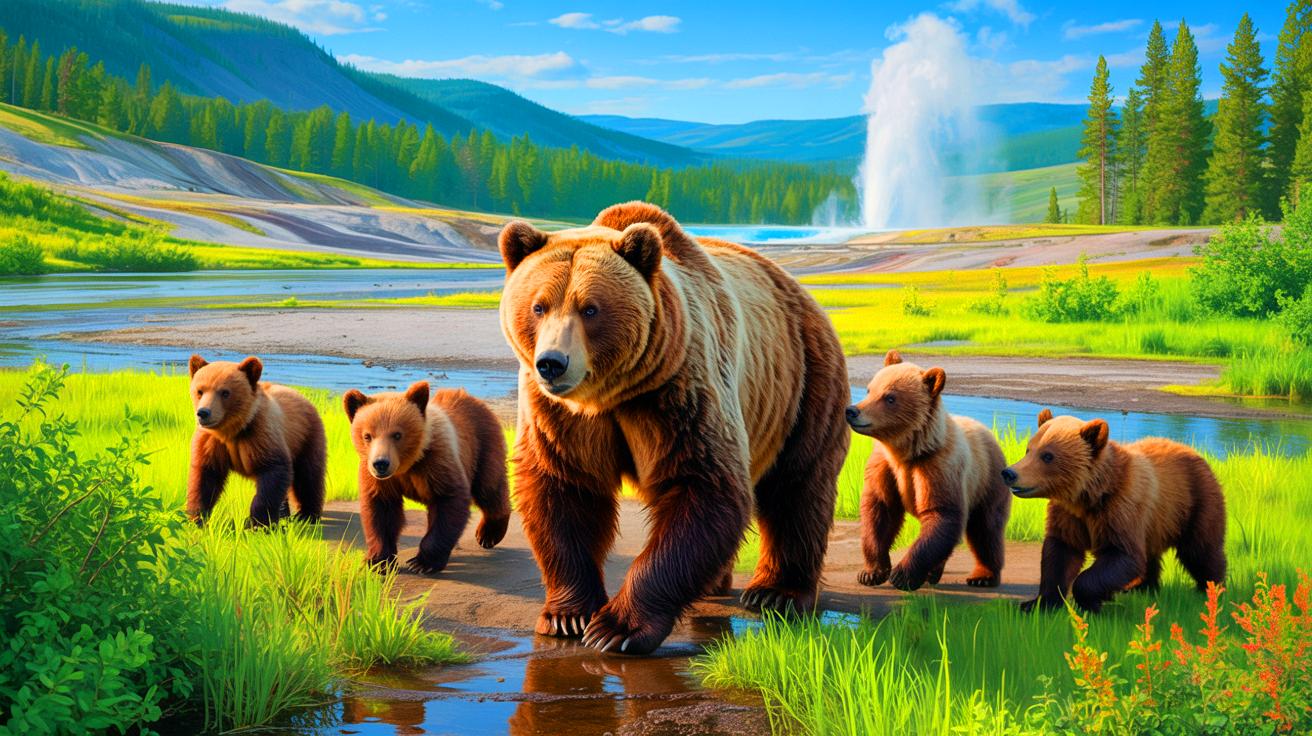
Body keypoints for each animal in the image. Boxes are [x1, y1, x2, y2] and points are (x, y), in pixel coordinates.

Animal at [187, 354, 326, 527]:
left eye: (225, 392)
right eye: (200, 391)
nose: (203, 413)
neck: (232, 430)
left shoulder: (261, 435)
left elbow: (273, 470)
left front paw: (258, 522)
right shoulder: (212, 442)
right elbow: (206, 475)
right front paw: (197, 518)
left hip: (306, 436)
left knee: (308, 475)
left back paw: (306, 515)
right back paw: (285, 513)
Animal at [343, 381, 511, 574]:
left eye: (397, 434)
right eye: (367, 436)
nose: (380, 463)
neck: (409, 464)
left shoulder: (438, 462)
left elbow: (450, 501)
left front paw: (422, 562)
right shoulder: (379, 479)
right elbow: (381, 510)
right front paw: (379, 561)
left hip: (482, 445)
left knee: (489, 488)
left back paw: (488, 534)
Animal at [498, 201, 850, 655]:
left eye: (590, 308)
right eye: (539, 306)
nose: (552, 364)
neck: (609, 396)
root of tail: (804, 294)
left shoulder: (677, 392)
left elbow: (703, 486)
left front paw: (617, 628)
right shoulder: (561, 417)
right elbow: (563, 488)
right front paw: (568, 616)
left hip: (803, 383)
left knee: (797, 488)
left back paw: (776, 592)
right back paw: (716, 583)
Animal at [845, 350, 1012, 591]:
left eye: (890, 397)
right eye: (870, 389)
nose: (852, 411)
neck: (908, 452)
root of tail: (988, 432)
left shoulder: (939, 467)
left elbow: (942, 513)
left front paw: (902, 575)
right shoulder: (884, 466)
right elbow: (880, 510)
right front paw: (870, 573)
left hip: (988, 482)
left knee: (986, 530)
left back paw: (983, 576)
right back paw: (934, 572)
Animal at [1003, 409, 1227, 613]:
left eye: (1047, 455)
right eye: (1028, 450)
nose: (1009, 473)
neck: (1089, 496)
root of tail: (1197, 453)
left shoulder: (1121, 508)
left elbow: (1123, 554)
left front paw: (1090, 603)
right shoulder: (1068, 515)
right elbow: (1060, 552)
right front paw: (1037, 603)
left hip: (1196, 502)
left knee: (1201, 550)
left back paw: (1211, 589)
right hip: (1155, 523)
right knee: (1151, 555)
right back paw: (1143, 589)